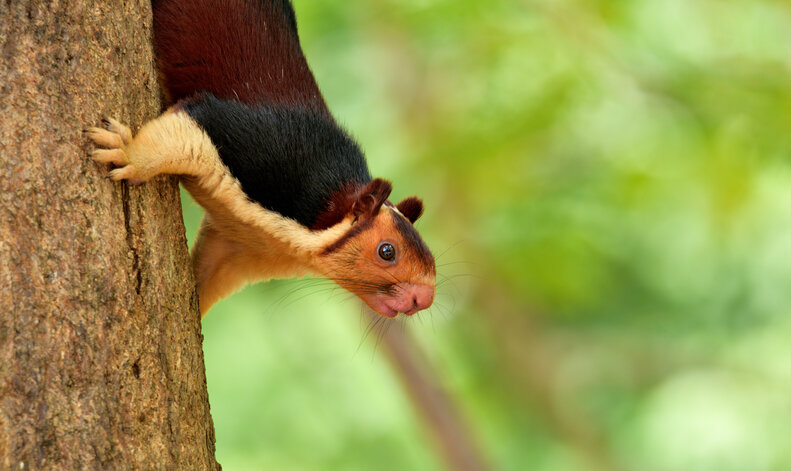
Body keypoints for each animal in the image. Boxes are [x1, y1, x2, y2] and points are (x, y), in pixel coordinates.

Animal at [84, 0, 436, 318]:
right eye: (387, 251)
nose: (425, 298)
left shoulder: (241, 248)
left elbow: (210, 276)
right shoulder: (256, 146)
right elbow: (186, 131)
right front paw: (126, 151)